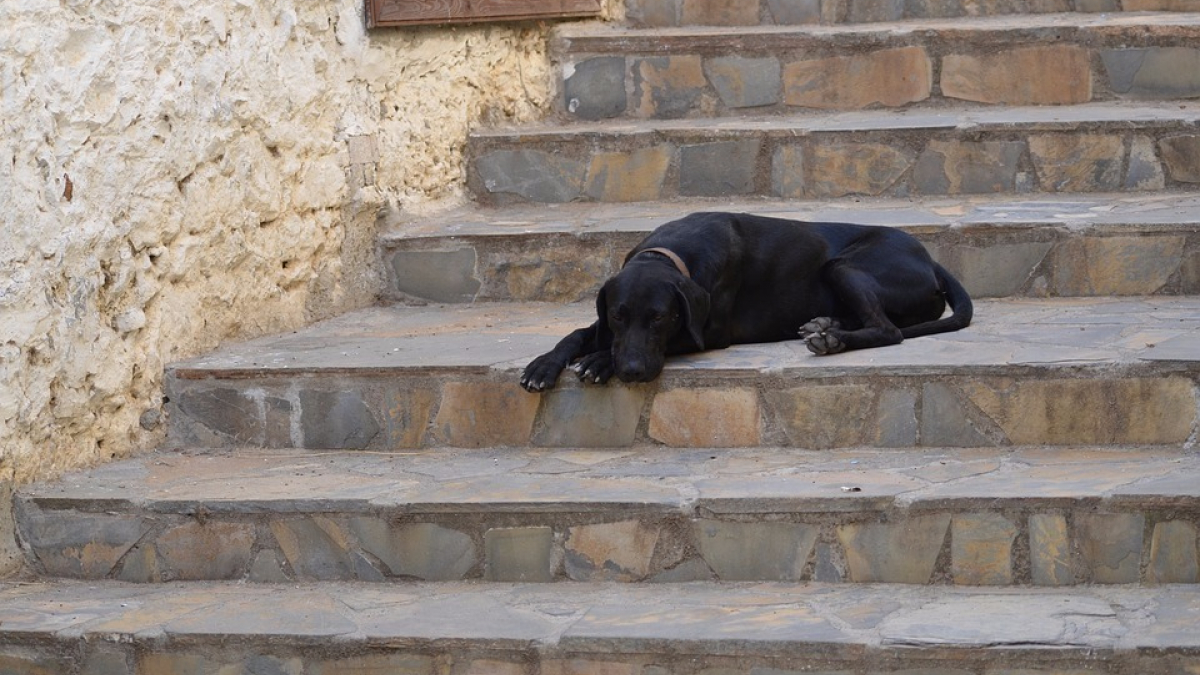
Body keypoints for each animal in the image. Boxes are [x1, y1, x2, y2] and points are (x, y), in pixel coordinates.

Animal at [520, 210, 969, 389]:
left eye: (660, 318)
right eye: (618, 316)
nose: (631, 371)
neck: (670, 252)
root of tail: (931, 260)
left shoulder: (709, 333)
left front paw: (599, 361)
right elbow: (577, 333)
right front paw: (543, 365)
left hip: (843, 266)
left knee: (889, 330)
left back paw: (832, 340)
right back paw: (825, 327)